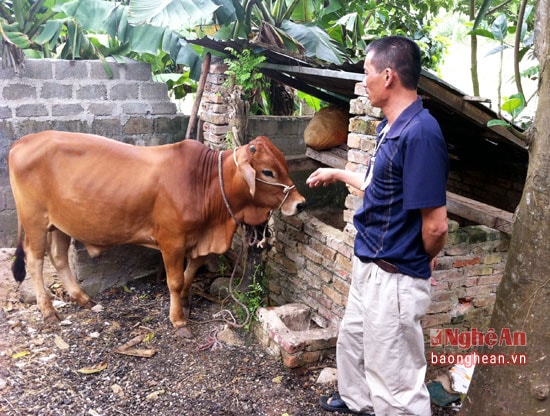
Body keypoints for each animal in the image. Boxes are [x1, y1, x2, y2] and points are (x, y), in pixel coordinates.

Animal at [7, 131, 306, 338]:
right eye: (268, 171)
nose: (300, 203)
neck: (204, 184)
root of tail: (22, 142)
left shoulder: (198, 242)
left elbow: (189, 274)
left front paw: (185, 301)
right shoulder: (172, 242)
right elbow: (174, 280)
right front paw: (178, 319)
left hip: (60, 224)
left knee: (58, 258)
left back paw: (82, 298)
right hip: (35, 220)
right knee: (35, 261)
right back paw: (48, 311)